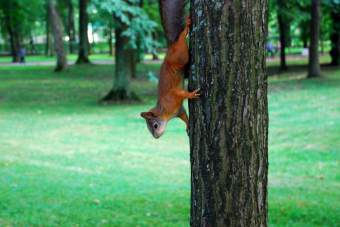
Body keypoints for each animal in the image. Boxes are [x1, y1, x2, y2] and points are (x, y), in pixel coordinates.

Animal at [140, 0, 199, 139]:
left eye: (155, 125)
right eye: (149, 129)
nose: (156, 137)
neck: (166, 112)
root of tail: (171, 45)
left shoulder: (172, 97)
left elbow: (181, 93)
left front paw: (191, 94)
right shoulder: (180, 111)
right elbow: (185, 117)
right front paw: (188, 127)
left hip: (180, 55)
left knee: (182, 38)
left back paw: (185, 28)